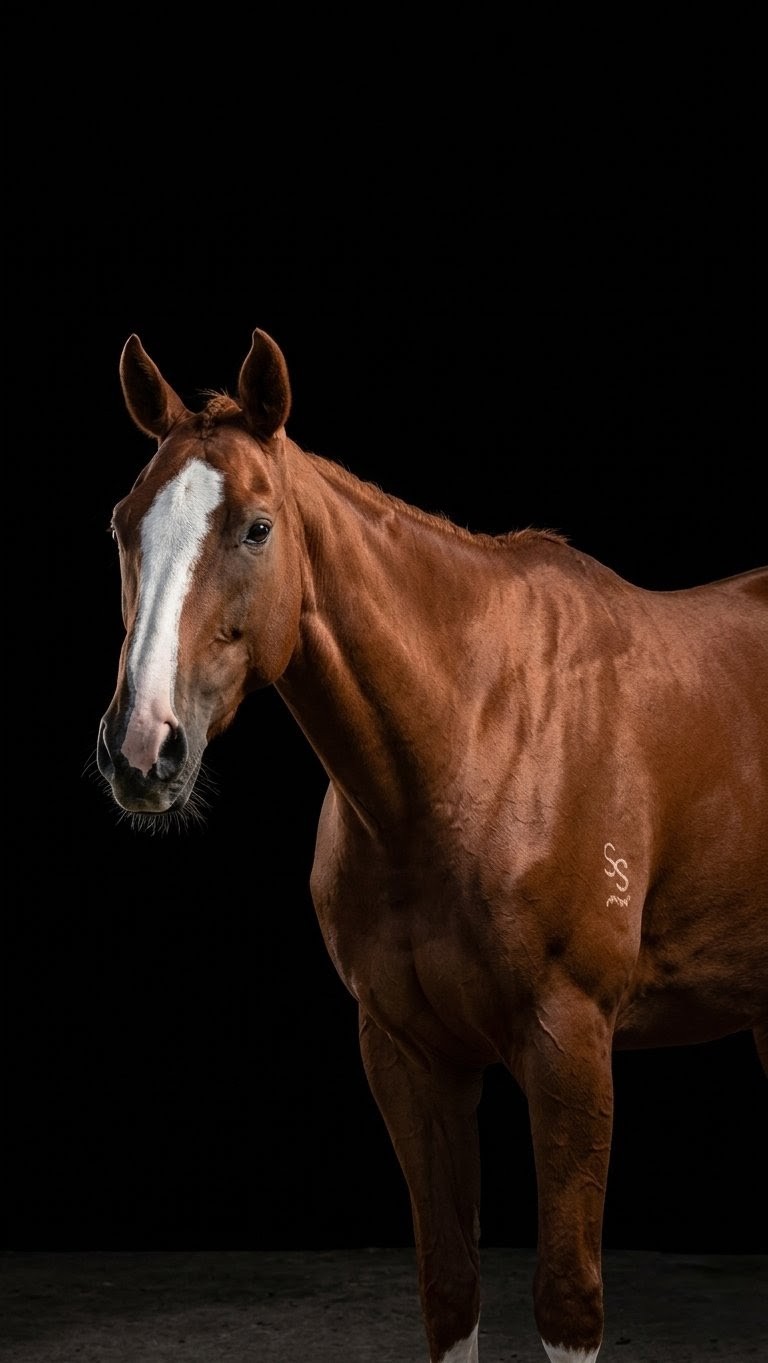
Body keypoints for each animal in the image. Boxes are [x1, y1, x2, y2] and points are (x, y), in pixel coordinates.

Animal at [96, 327, 768, 1363]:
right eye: (124, 525)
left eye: (256, 528)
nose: (143, 747)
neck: (477, 738)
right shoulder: (408, 1054)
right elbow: (450, 1291)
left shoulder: (571, 1045)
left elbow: (569, 1300)